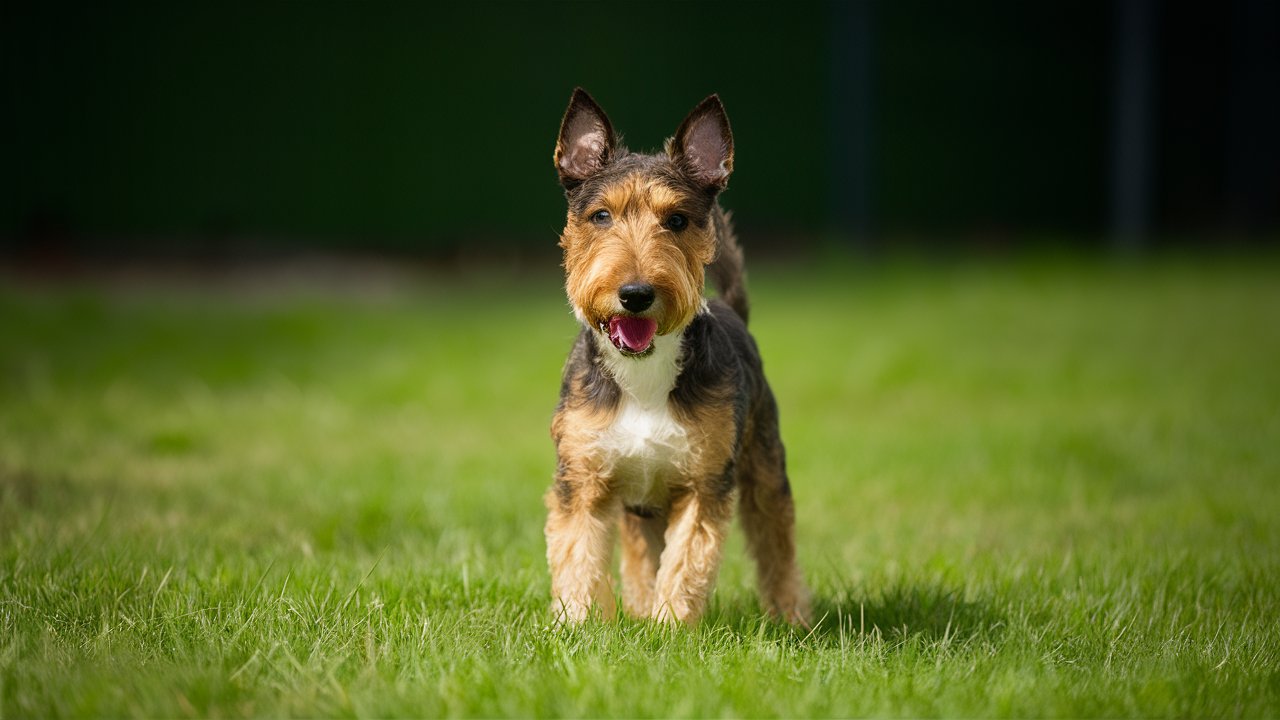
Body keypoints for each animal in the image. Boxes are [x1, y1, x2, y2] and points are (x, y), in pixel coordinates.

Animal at [547, 88, 808, 622]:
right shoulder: (582, 481)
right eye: (601, 215)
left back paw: (791, 617)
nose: (635, 294)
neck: (644, 374)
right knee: (637, 553)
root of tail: (735, 311)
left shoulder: (703, 485)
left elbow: (687, 561)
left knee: (778, 543)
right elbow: (577, 555)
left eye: (677, 220)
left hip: (764, 466)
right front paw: (576, 624)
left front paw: (669, 627)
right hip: (637, 503)